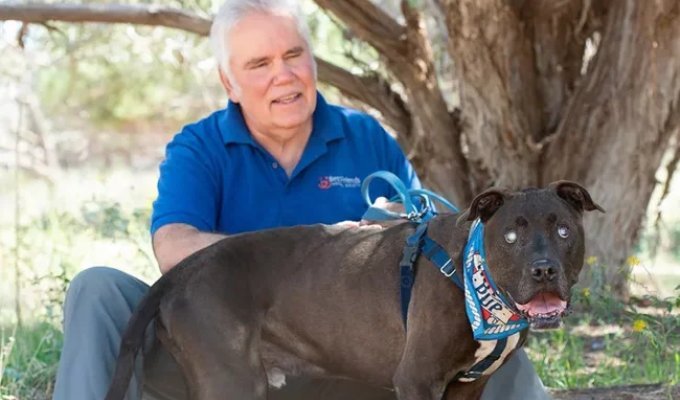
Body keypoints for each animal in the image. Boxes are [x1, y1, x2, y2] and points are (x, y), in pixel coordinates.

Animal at [103, 180, 604, 400]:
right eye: (512, 236)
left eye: (562, 231)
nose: (543, 271)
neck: (471, 275)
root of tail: (183, 269)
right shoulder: (417, 379)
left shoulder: (468, 386)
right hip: (232, 382)